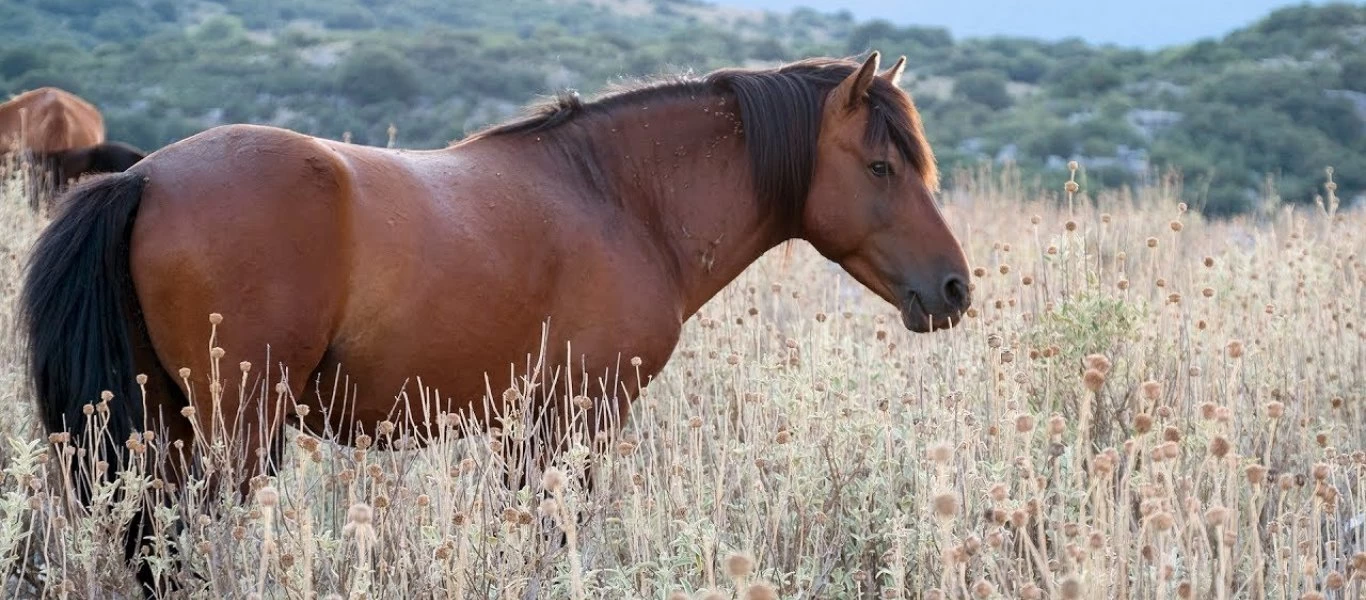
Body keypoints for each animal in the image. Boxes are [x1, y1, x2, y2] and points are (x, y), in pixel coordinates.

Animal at [18, 51, 972, 595]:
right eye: (882, 167)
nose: (956, 288)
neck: (619, 198)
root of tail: (143, 177)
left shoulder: (531, 427)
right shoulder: (580, 417)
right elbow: (554, 536)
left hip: (162, 428)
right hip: (234, 433)